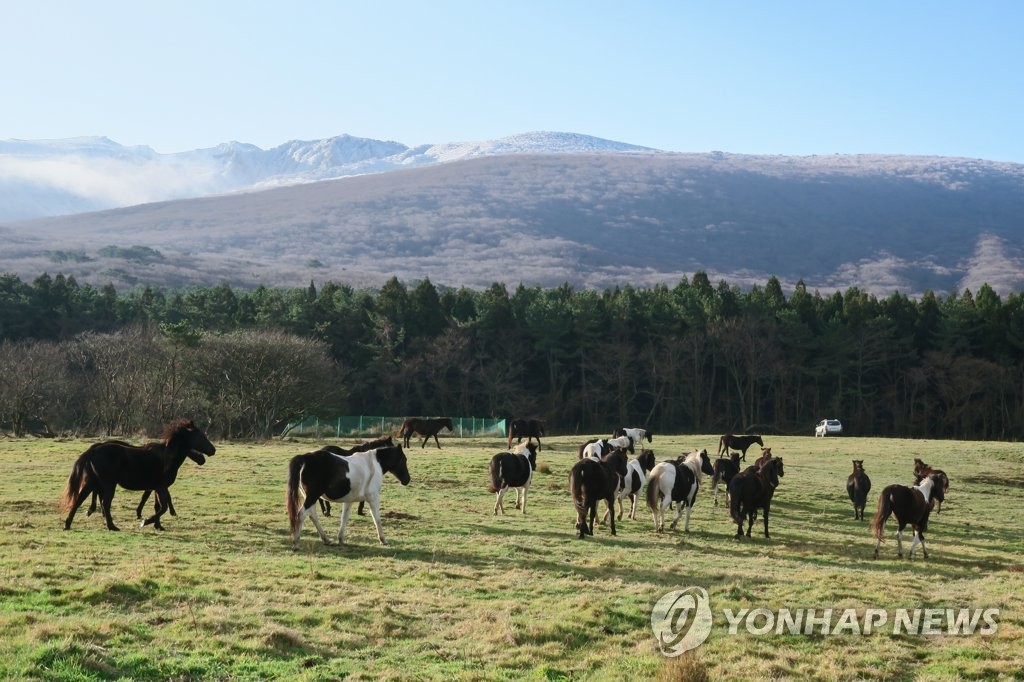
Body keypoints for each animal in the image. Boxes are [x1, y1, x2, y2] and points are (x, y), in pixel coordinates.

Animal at [60, 413, 215, 532]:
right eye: (201, 436)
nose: (212, 450)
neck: (166, 457)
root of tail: (92, 451)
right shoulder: (161, 487)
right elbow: (163, 507)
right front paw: (145, 521)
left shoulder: (156, 487)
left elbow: (158, 506)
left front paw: (158, 526)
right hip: (108, 484)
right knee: (105, 503)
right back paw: (112, 526)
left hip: (92, 482)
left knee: (79, 500)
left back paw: (68, 525)